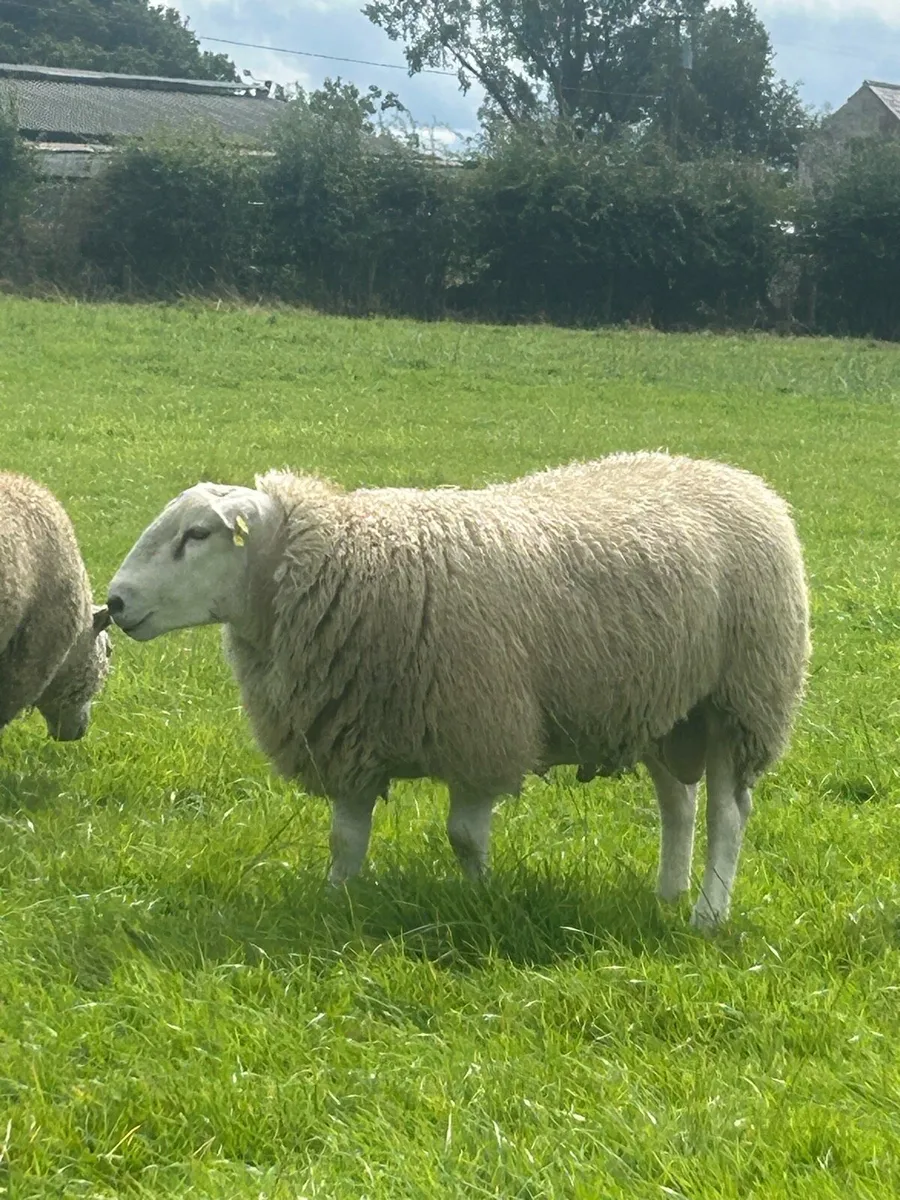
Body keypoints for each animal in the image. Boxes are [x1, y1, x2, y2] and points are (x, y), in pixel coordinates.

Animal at [105, 452, 810, 929]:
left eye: (196, 535)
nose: (114, 604)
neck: (342, 563)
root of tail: (740, 477)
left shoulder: (480, 729)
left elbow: (464, 837)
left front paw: (480, 900)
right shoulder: (350, 737)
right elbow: (345, 840)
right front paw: (337, 901)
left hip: (741, 700)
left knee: (726, 815)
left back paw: (707, 915)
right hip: (665, 706)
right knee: (677, 804)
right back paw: (666, 894)